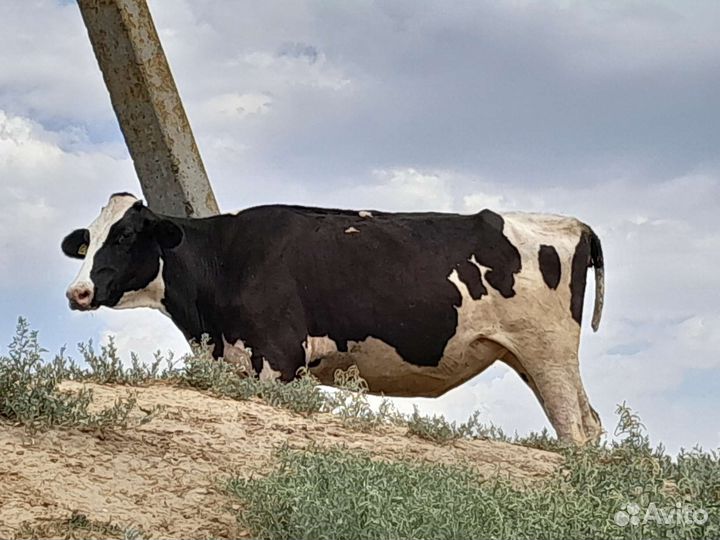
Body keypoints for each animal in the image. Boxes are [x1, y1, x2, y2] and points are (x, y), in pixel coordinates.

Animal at [62, 192, 605, 444]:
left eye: (126, 235)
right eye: (88, 239)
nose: (77, 291)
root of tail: (574, 223)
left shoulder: (278, 359)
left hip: (548, 352)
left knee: (575, 432)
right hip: (531, 357)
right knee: (590, 423)